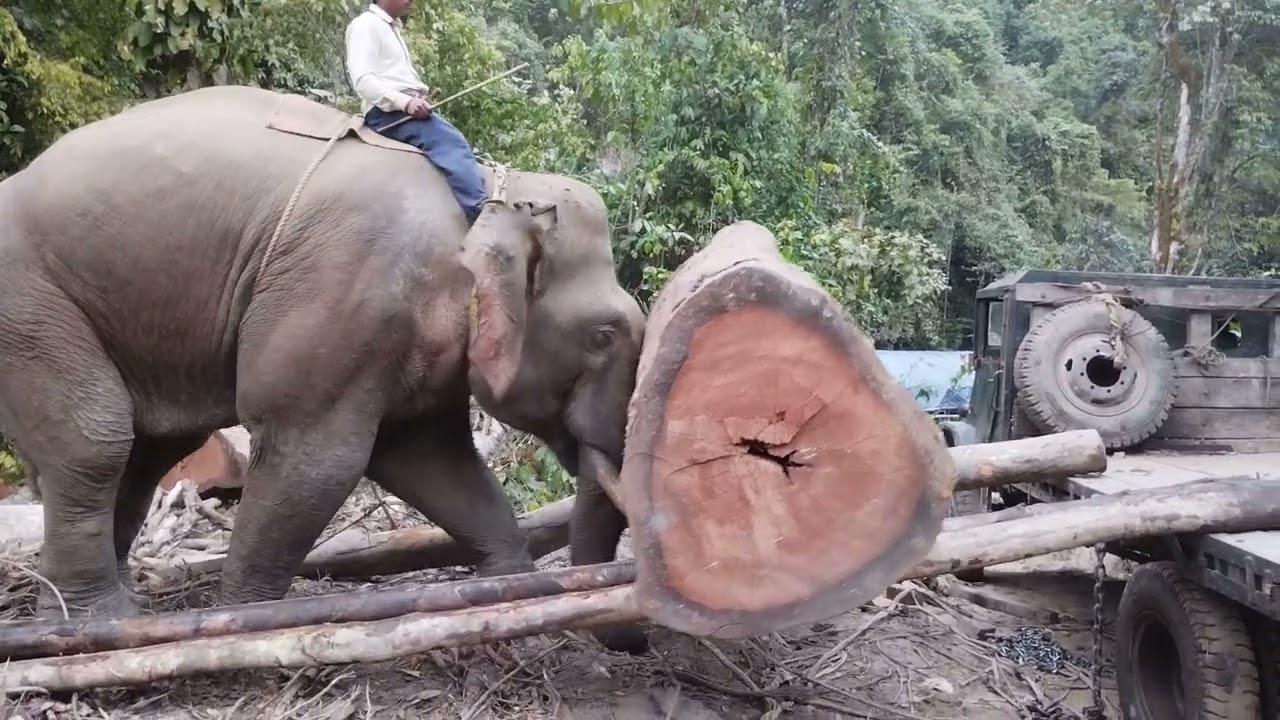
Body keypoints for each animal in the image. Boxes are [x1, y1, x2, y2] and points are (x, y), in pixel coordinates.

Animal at [0, 85, 650, 653]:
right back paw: (91, 622)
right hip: (26, 305)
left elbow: (428, 457)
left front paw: (507, 589)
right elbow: (318, 460)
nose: (637, 641)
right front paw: (247, 622)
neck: (491, 197)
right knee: (99, 443)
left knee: (149, 449)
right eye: (604, 335)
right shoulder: (350, 291)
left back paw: (121, 612)